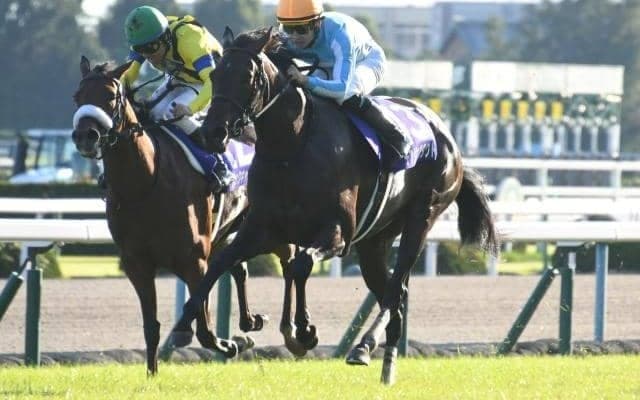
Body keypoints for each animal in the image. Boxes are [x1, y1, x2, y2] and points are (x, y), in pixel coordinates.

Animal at [71, 56, 286, 375]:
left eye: (110, 97)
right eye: (77, 97)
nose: (85, 136)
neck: (145, 181)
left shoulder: (194, 257)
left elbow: (205, 329)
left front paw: (230, 344)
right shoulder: (137, 263)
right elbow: (152, 326)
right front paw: (152, 373)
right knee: (238, 266)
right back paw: (249, 321)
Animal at [167, 28, 499, 384]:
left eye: (247, 78)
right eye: (215, 75)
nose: (212, 133)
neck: (292, 145)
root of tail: (446, 135)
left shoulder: (337, 232)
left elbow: (300, 266)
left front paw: (303, 332)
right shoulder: (262, 229)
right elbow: (221, 264)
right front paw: (185, 328)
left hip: (422, 218)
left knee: (396, 291)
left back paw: (363, 347)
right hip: (374, 241)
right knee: (392, 296)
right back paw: (387, 367)